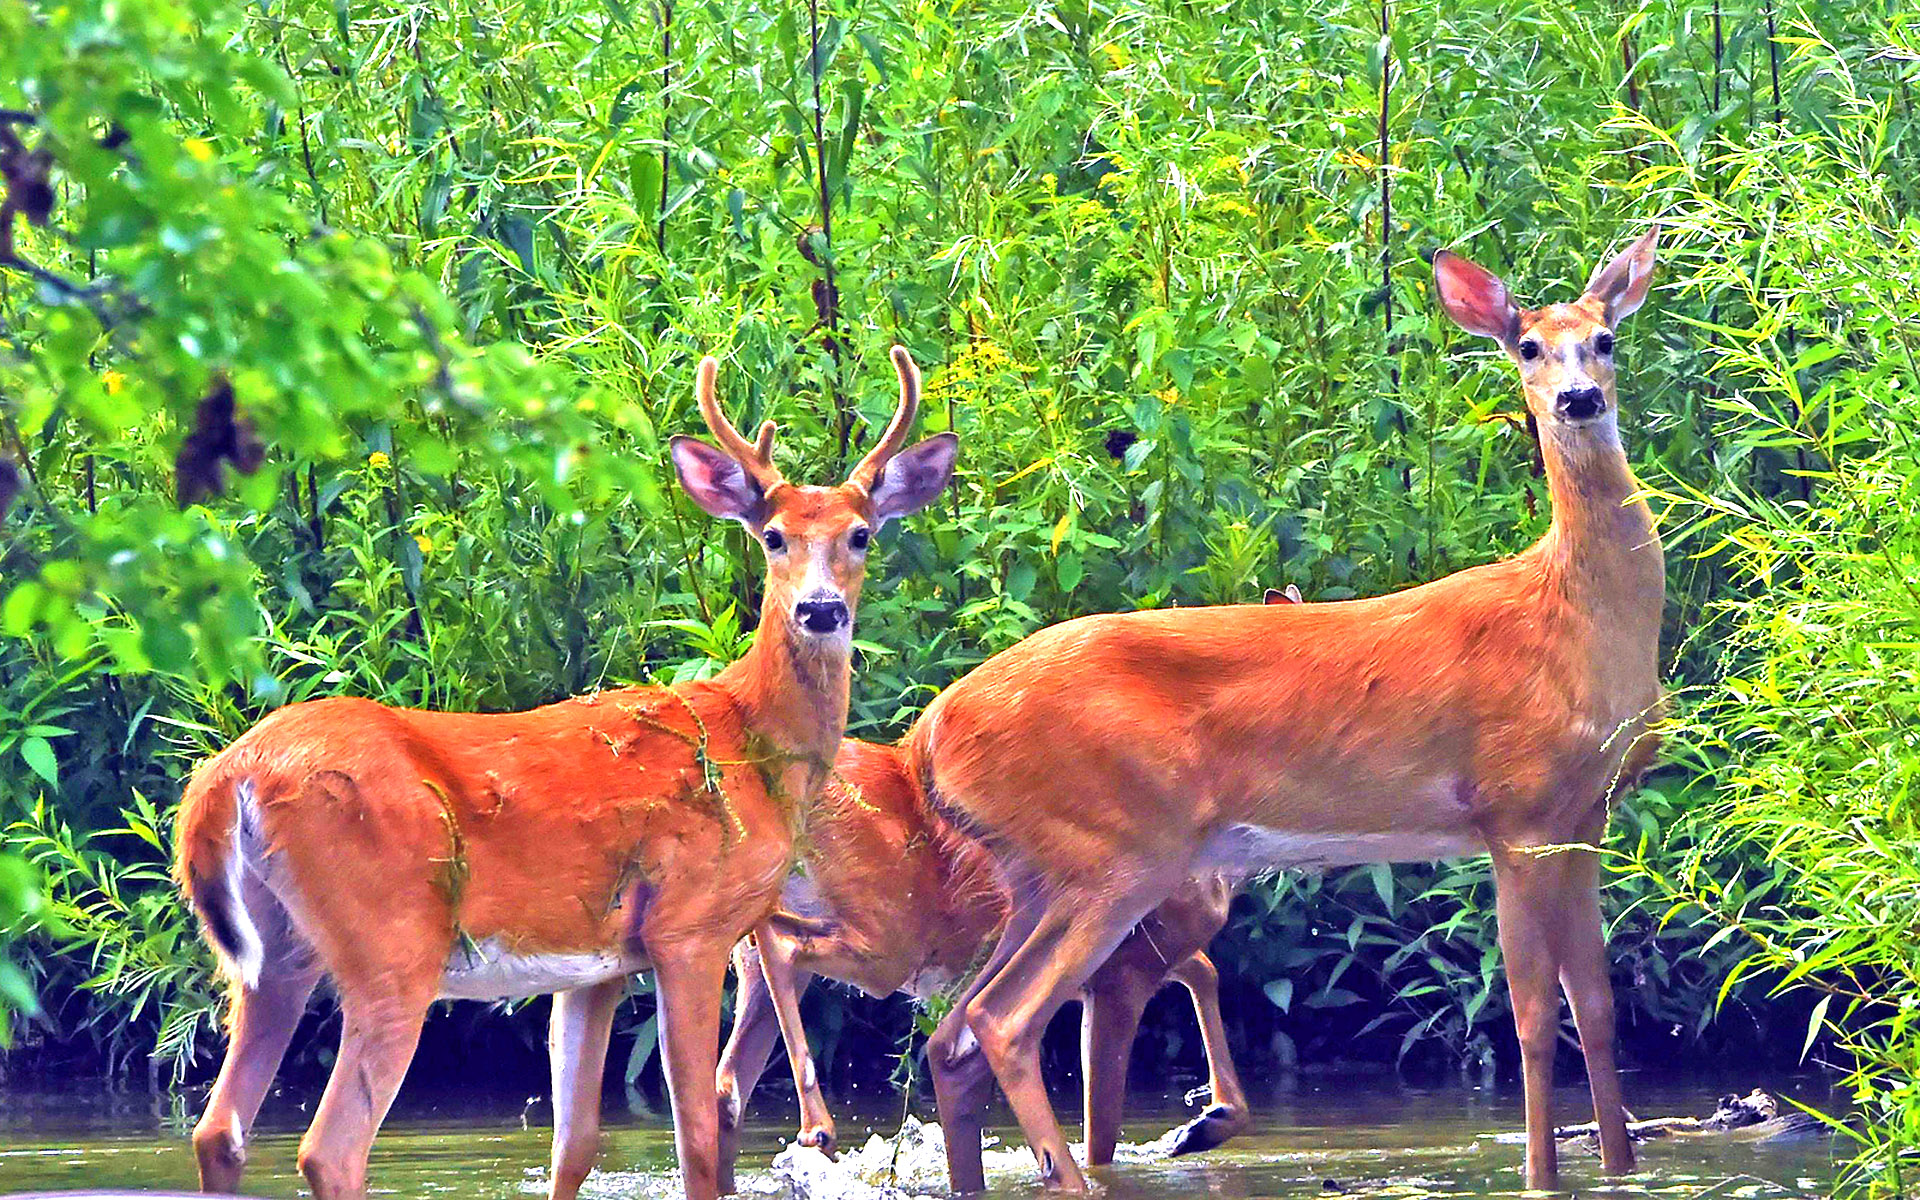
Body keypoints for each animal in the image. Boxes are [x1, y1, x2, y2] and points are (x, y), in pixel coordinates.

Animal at [176, 343, 956, 1198]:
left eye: (861, 535)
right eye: (775, 536)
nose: (820, 611)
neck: (750, 736)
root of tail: (232, 775)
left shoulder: (594, 968)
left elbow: (575, 1144)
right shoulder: (690, 927)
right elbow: (698, 1137)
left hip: (270, 960)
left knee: (219, 1129)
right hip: (390, 942)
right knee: (330, 1147)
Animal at [702, 733, 1244, 1190]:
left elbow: (1204, 969)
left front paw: (1207, 1122)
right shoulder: (1123, 971)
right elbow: (1100, 1137)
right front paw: (1198, 1126)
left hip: (766, 958)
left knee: (727, 1084)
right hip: (887, 940)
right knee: (784, 948)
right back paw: (817, 1127)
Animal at [913, 226, 1666, 1190]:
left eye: (1604, 338)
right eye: (1528, 346)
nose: (1577, 398)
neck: (1573, 620)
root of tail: (930, 734)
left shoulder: (1586, 813)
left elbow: (1598, 1007)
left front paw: (1620, 1166)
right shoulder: (1516, 808)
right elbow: (1534, 1016)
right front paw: (1540, 1176)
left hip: (1039, 868)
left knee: (954, 1035)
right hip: (1117, 848)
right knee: (1004, 1020)